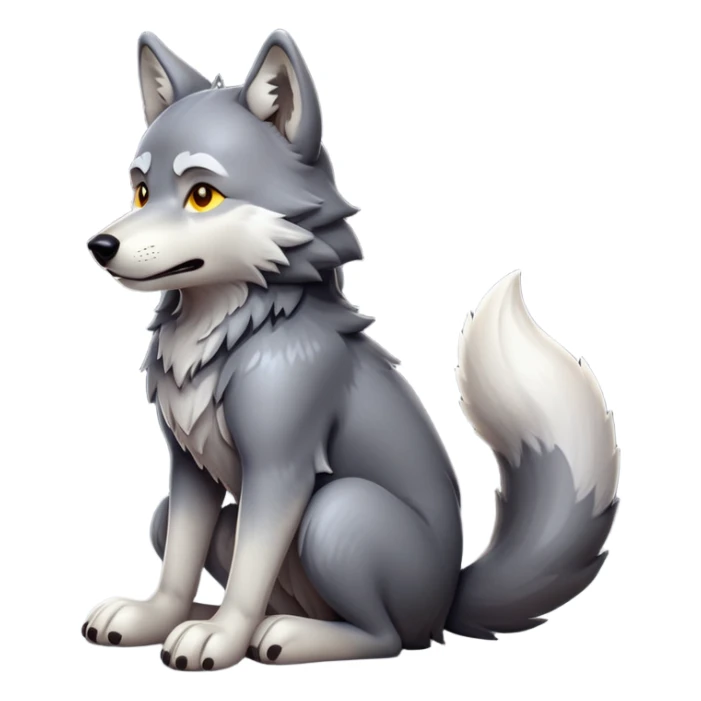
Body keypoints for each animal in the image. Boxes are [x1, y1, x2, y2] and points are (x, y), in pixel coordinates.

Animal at [83, 30, 619, 671]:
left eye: (202, 196)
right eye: (140, 191)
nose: (99, 245)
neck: (235, 335)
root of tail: (448, 599)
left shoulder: (281, 470)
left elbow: (247, 577)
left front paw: (221, 640)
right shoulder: (189, 467)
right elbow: (179, 566)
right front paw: (158, 616)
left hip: (336, 513)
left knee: (384, 639)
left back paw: (281, 637)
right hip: (203, 519)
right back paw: (210, 618)